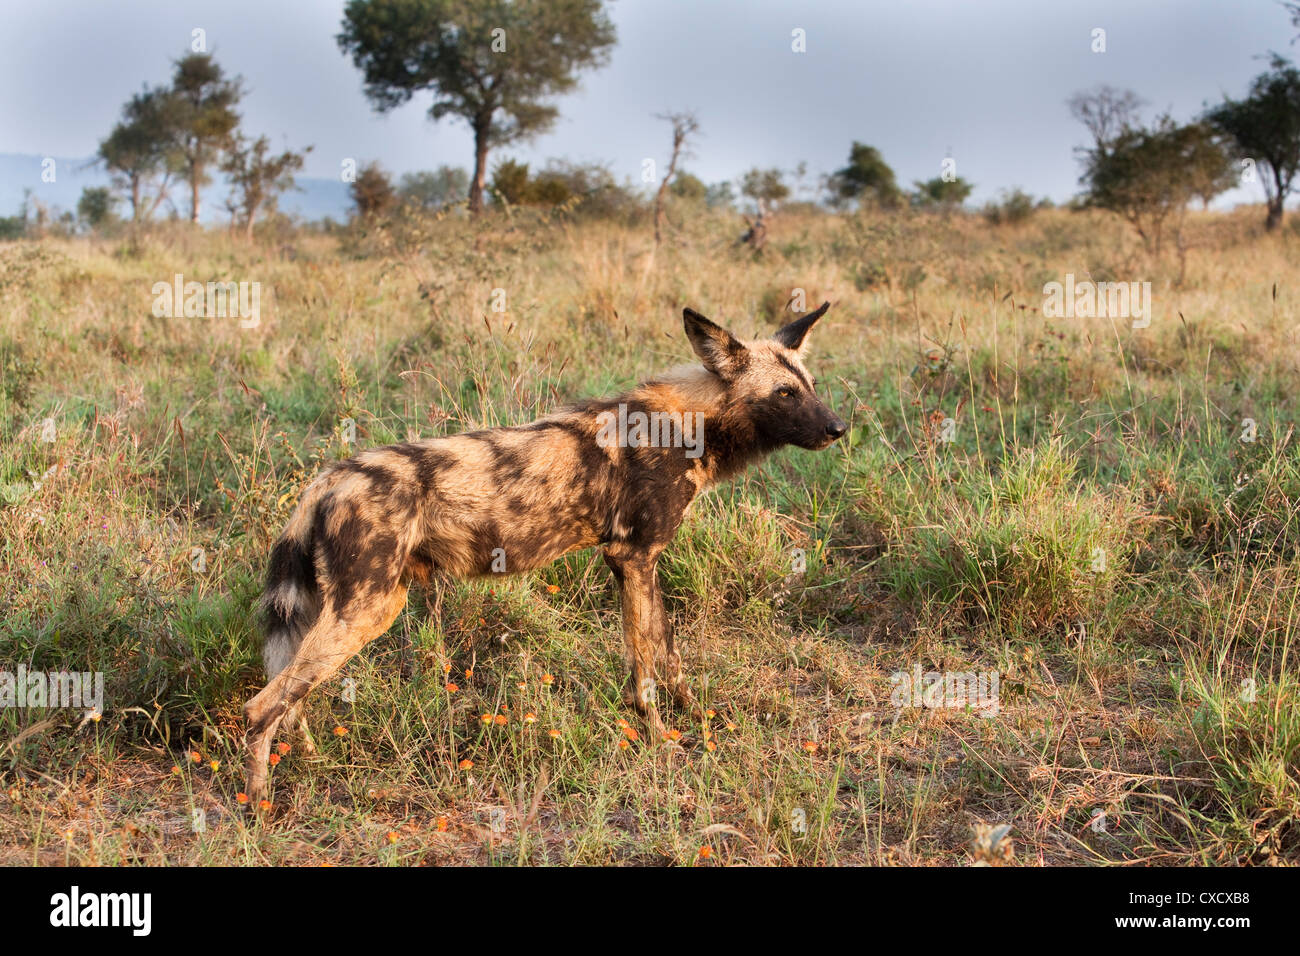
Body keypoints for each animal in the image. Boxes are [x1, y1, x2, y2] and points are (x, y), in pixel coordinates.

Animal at [244, 303, 847, 806]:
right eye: (784, 394)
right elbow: (645, 667)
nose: (839, 428)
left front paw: (693, 718)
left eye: (811, 386)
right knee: (262, 705)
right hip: (367, 610)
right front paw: (659, 739)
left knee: (290, 698)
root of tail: (329, 477)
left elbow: (668, 651)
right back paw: (260, 804)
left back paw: (309, 762)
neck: (689, 423)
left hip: (349, 609)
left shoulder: (642, 562)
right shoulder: (632, 557)